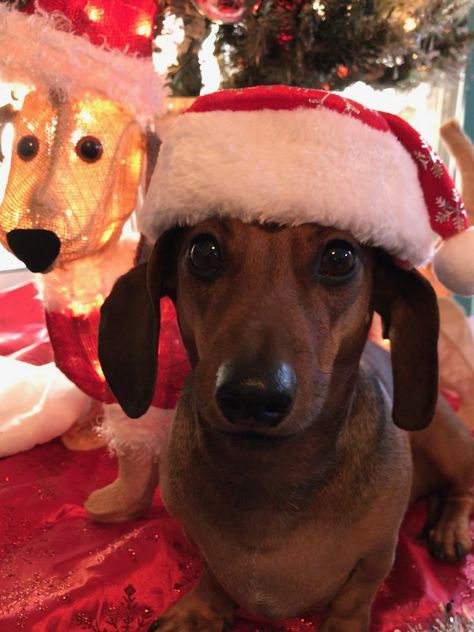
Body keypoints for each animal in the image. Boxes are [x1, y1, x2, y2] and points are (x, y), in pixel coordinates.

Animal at [98, 218, 472, 632]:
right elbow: (212, 575)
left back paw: (450, 529)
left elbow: (355, 598)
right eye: (203, 252)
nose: (253, 396)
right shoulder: (198, 541)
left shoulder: (377, 556)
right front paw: (201, 610)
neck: (270, 474)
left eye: (340, 257)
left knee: (462, 490)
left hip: (447, 443)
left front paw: (343, 624)